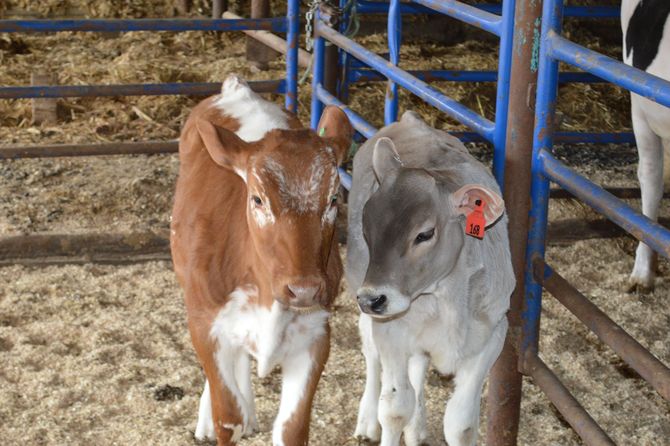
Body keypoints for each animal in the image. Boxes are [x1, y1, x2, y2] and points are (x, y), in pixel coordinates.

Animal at [170, 75, 353, 446]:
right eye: (257, 199)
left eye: (333, 199)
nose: (304, 289)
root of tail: (236, 88)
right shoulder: (205, 324)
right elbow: (229, 416)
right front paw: (218, 417)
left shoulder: (315, 336)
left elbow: (292, 428)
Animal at [346, 111, 514, 446]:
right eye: (367, 229)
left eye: (424, 234)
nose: (372, 298)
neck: (448, 298)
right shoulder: (391, 331)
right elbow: (395, 409)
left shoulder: (493, 334)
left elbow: (461, 423)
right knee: (371, 354)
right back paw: (367, 421)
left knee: (419, 366)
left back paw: (417, 429)